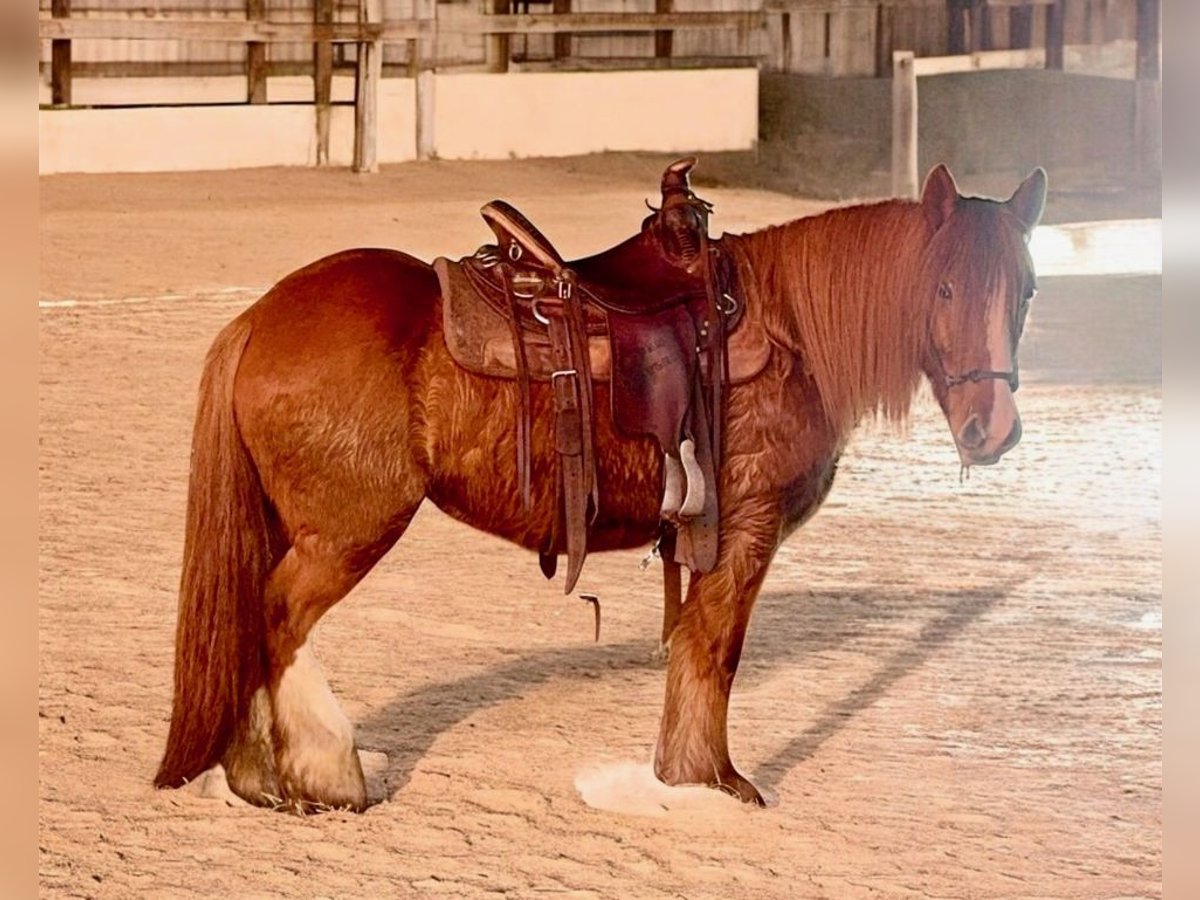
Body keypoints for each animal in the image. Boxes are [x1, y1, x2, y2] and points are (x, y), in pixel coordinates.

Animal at [154, 163, 1046, 811]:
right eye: (944, 288)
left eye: (1028, 290)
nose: (993, 429)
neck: (787, 326)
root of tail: (258, 319)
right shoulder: (747, 528)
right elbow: (717, 650)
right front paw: (713, 780)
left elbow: (692, 645)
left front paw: (681, 773)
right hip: (346, 533)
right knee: (279, 619)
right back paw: (326, 773)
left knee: (248, 620)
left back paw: (253, 776)